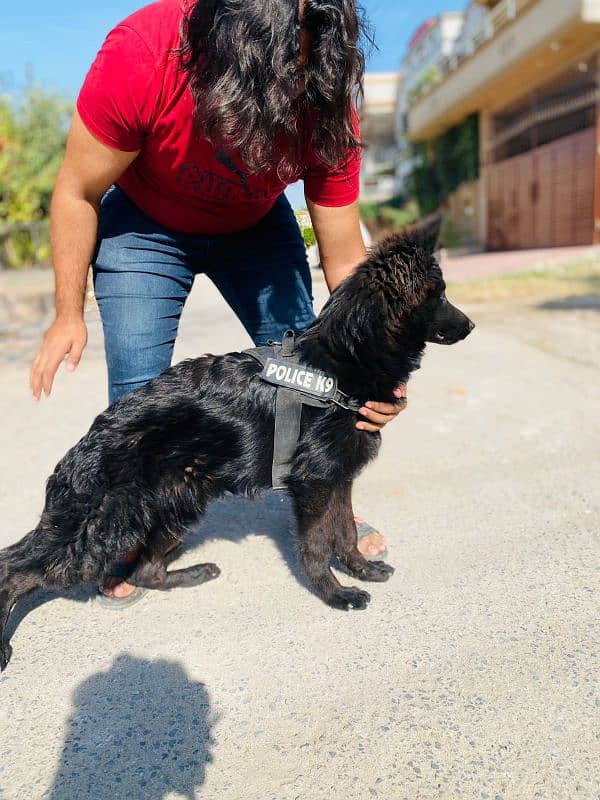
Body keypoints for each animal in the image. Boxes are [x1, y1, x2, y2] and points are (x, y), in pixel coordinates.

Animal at [2, 217, 476, 668]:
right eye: (440, 295)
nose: (471, 325)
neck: (341, 361)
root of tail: (87, 441)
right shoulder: (314, 486)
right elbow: (316, 547)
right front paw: (335, 594)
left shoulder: (339, 480)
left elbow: (344, 534)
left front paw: (361, 570)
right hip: (103, 535)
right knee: (15, 570)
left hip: (174, 510)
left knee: (145, 572)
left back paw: (191, 574)